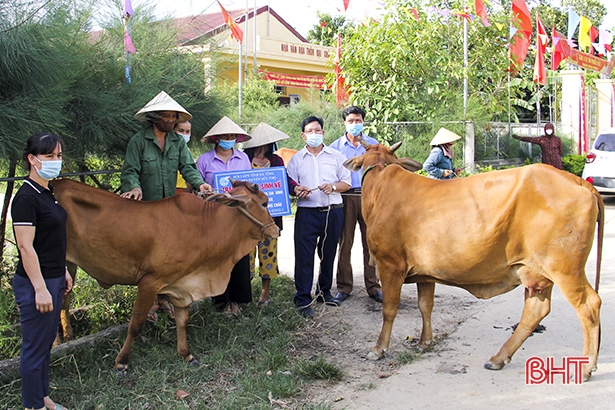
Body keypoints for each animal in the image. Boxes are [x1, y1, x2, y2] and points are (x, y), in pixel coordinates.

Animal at [50, 179, 280, 372]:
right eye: (265, 203)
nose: (276, 230)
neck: (205, 227)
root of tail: (55, 183)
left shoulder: (182, 285)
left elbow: (182, 321)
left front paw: (186, 354)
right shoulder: (149, 282)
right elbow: (136, 324)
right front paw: (121, 362)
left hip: (70, 265)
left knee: (64, 301)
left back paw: (68, 336)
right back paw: (56, 343)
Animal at [346, 141, 608, 382]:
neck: (380, 184)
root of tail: (579, 182)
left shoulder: (390, 265)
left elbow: (389, 309)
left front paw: (379, 348)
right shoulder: (426, 273)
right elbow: (425, 306)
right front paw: (425, 342)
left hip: (564, 269)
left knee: (589, 305)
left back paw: (586, 367)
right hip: (536, 272)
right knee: (536, 311)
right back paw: (499, 358)